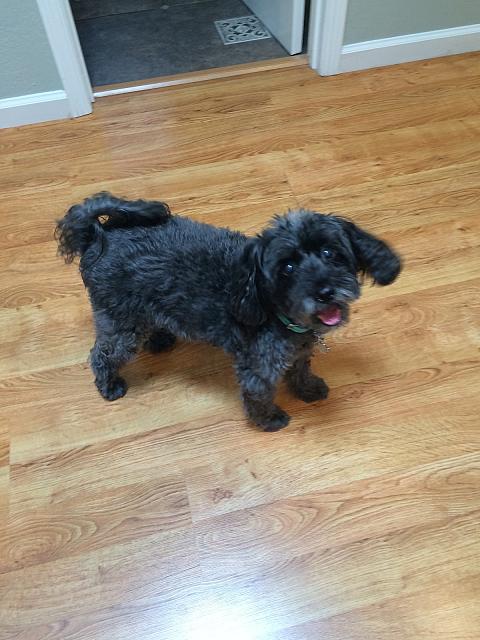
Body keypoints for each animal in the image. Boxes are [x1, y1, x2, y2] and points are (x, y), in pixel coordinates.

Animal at [56, 193, 401, 431]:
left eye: (330, 252)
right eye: (287, 267)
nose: (324, 292)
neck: (274, 308)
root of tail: (98, 235)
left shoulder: (298, 350)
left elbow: (301, 369)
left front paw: (308, 388)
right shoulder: (259, 366)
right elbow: (259, 394)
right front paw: (269, 419)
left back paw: (160, 340)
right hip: (120, 322)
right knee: (101, 354)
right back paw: (109, 385)